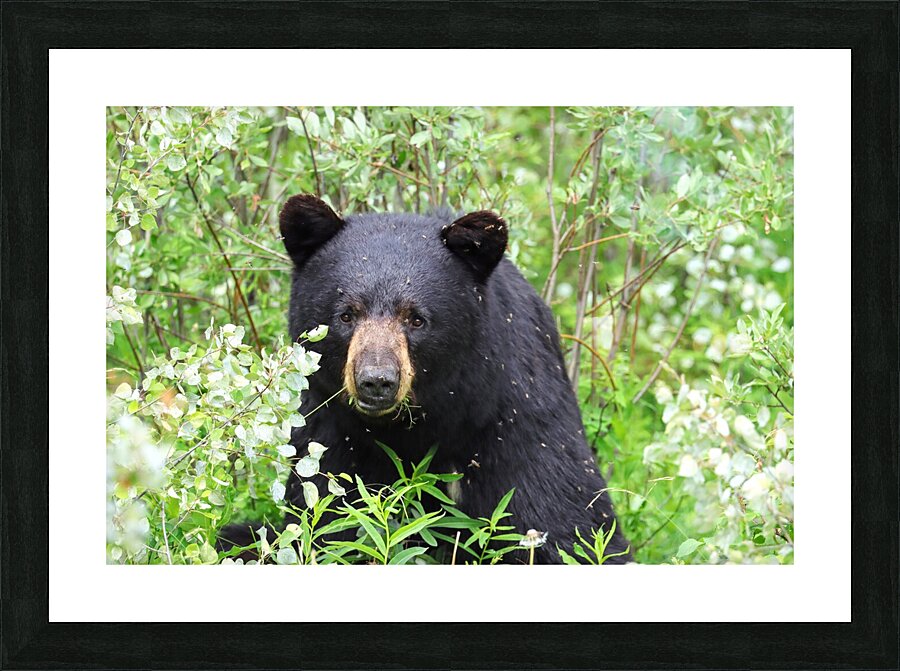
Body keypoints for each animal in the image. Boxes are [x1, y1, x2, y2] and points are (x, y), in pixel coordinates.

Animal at [225, 194, 631, 564]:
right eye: (346, 314)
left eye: (416, 318)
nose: (377, 380)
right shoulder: (330, 434)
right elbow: (326, 523)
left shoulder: (518, 417)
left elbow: (562, 521)